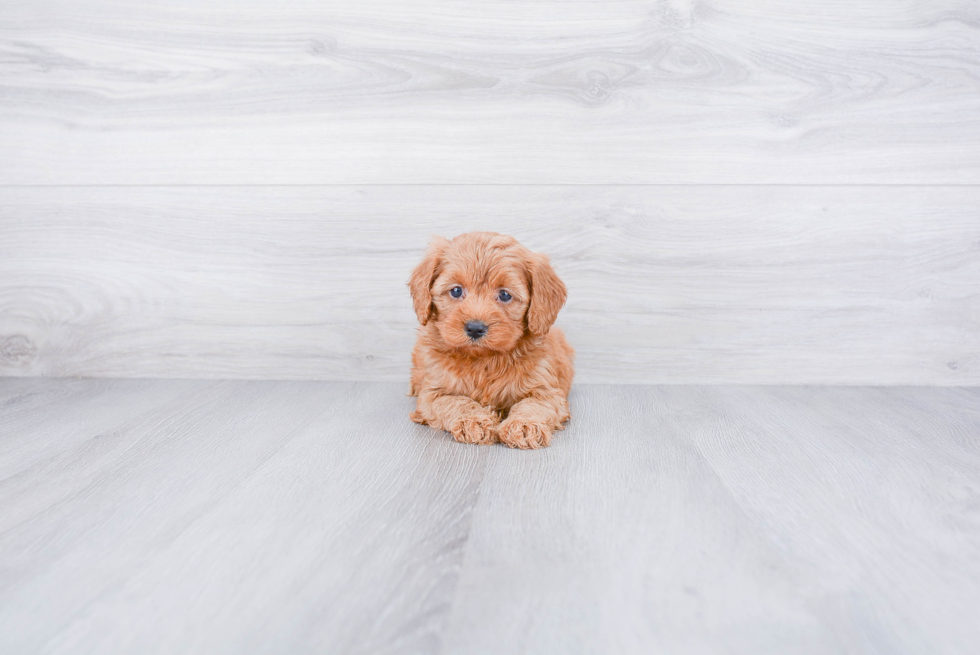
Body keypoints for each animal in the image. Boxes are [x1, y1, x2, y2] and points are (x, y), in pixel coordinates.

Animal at [408, 232, 576, 452]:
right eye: (456, 291)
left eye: (504, 294)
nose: (475, 328)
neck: (484, 359)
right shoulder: (432, 394)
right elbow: (456, 401)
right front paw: (473, 420)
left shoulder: (547, 391)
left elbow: (533, 405)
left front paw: (524, 425)